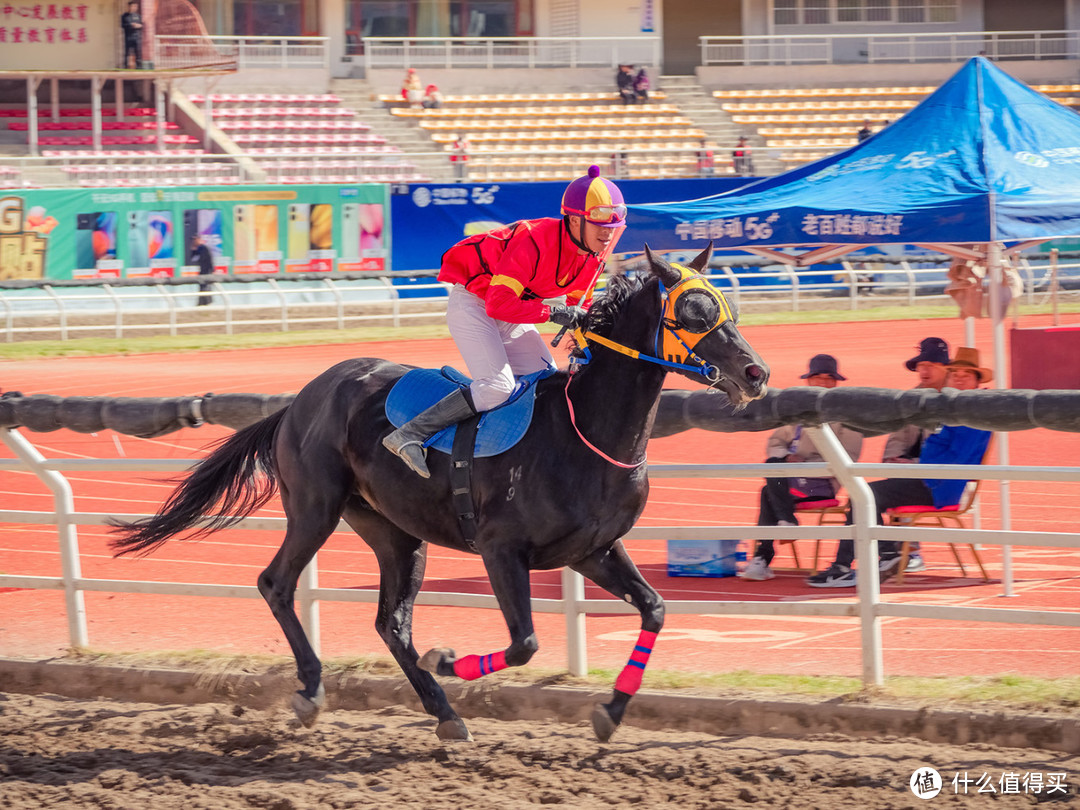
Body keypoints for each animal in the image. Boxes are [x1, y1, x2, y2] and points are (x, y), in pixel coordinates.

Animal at [109, 246, 768, 743]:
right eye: (692, 311)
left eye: (727, 305)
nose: (755, 373)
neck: (585, 433)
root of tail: (299, 400)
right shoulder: (503, 550)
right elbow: (525, 641)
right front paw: (450, 661)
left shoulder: (592, 549)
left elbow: (654, 609)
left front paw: (610, 712)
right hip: (316, 508)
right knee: (277, 584)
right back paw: (313, 689)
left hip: (395, 533)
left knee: (391, 622)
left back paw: (445, 714)